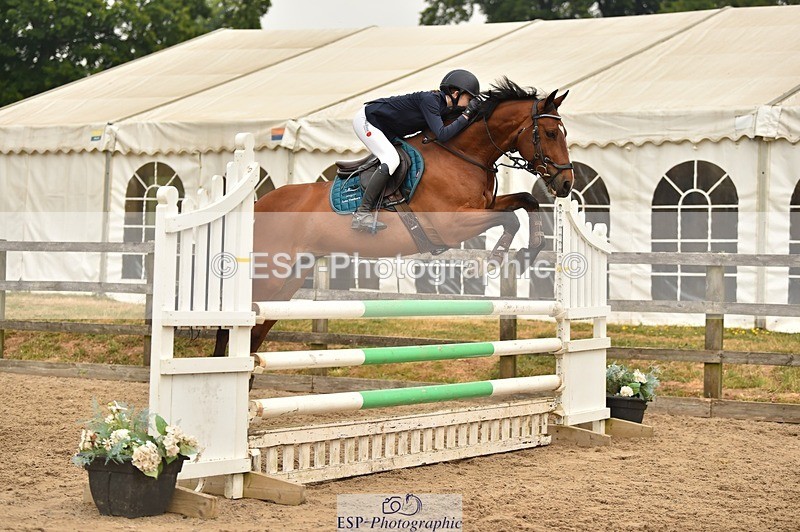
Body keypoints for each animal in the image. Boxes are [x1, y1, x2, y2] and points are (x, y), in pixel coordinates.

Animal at [214, 78, 574, 357]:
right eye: (551, 133)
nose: (566, 183)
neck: (463, 155)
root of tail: (258, 206)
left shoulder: (485, 207)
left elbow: (527, 201)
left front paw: (529, 252)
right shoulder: (452, 225)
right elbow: (511, 220)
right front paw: (496, 260)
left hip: (288, 281)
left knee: (256, 330)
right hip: (268, 277)